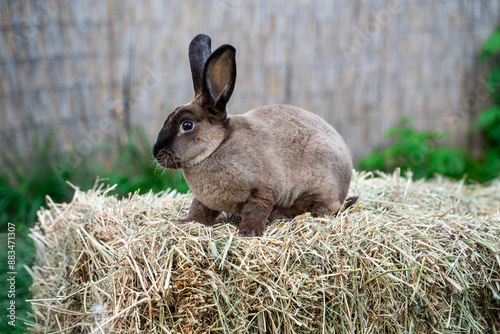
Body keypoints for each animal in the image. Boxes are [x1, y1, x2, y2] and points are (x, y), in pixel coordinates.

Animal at [152, 34, 356, 236]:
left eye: (187, 125)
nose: (156, 153)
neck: (218, 146)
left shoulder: (263, 190)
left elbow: (256, 210)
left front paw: (248, 232)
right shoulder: (204, 200)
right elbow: (198, 210)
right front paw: (184, 224)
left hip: (318, 188)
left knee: (316, 208)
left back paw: (280, 214)